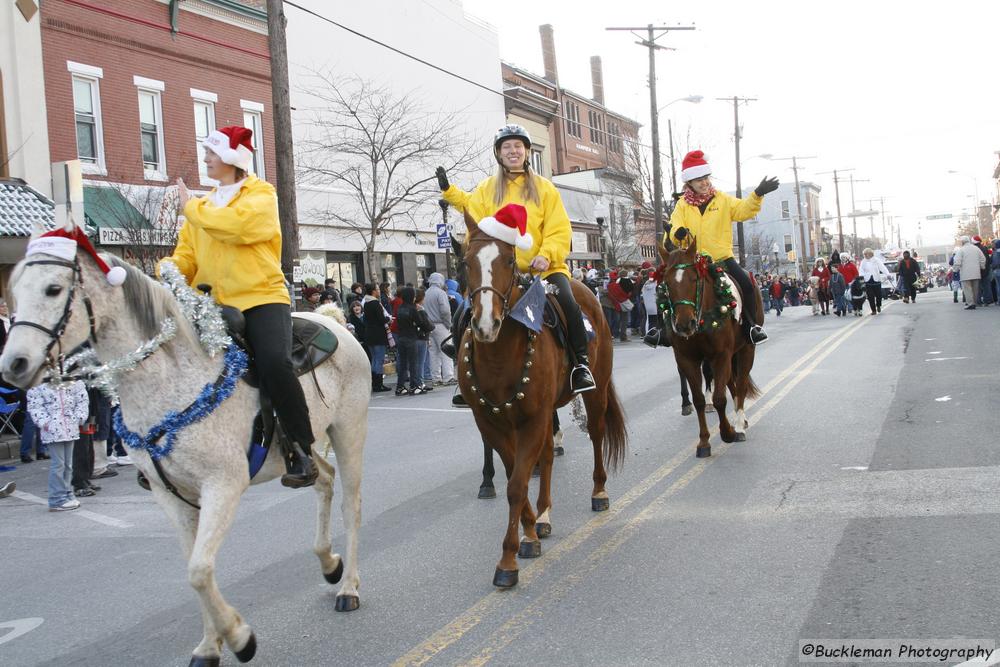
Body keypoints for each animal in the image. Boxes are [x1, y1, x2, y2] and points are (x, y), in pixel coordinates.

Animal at [0, 247, 372, 667]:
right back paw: (329, 563)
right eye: (15, 290)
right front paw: (210, 647)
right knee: (322, 478)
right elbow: (196, 571)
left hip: (348, 430)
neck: (171, 381)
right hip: (297, 448)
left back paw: (348, 587)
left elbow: (198, 569)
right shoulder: (172, 495)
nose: (14, 364)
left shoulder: (222, 486)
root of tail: (334, 323)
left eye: (53, 288)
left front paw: (240, 638)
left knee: (351, 506)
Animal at [458, 211, 624, 588]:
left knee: (595, 434)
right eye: (465, 262)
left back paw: (599, 493)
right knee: (547, 455)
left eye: (508, 260)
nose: (485, 324)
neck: (501, 356)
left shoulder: (531, 419)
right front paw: (531, 531)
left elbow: (517, 485)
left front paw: (507, 561)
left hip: (595, 393)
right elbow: (514, 476)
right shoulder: (492, 423)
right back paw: (545, 515)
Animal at [660, 236, 760, 460]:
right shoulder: (687, 359)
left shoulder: (720, 355)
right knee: (732, 384)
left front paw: (728, 432)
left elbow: (719, 399)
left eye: (694, 279)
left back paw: (739, 425)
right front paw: (704, 442)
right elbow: (699, 400)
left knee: (740, 384)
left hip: (746, 350)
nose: (684, 324)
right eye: (667, 283)